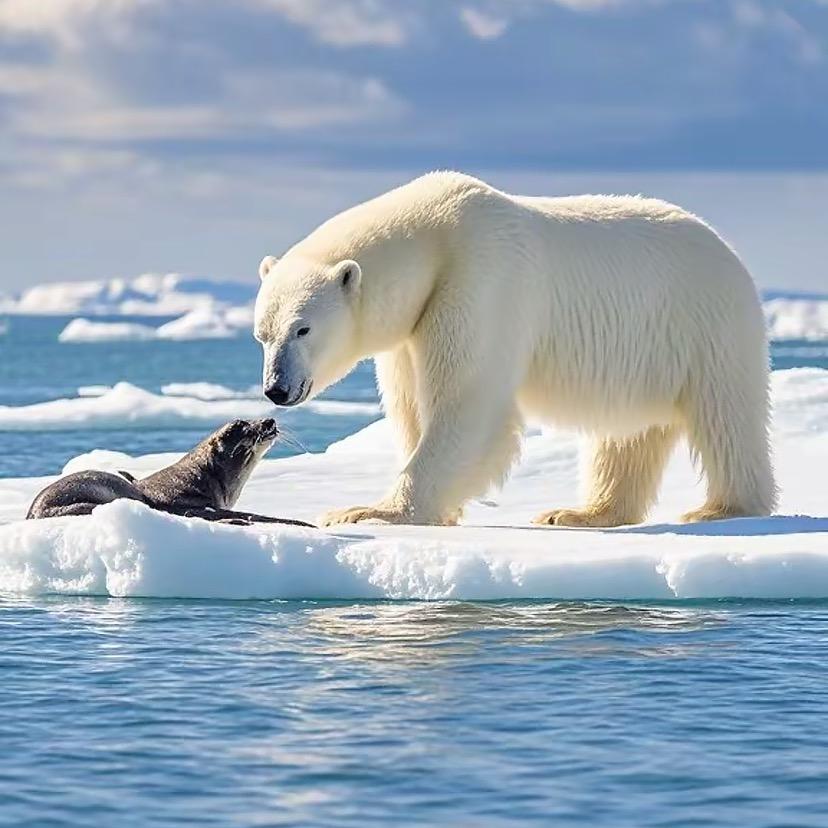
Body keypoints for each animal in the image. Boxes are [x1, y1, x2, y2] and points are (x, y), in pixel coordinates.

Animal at [254, 171, 776, 528]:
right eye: (262, 333)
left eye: (302, 329)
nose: (276, 389)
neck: (434, 237)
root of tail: (728, 250)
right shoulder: (410, 328)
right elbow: (409, 404)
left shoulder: (480, 278)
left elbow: (468, 401)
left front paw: (369, 511)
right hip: (646, 351)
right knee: (626, 434)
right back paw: (578, 513)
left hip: (705, 323)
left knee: (726, 416)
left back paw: (720, 509)